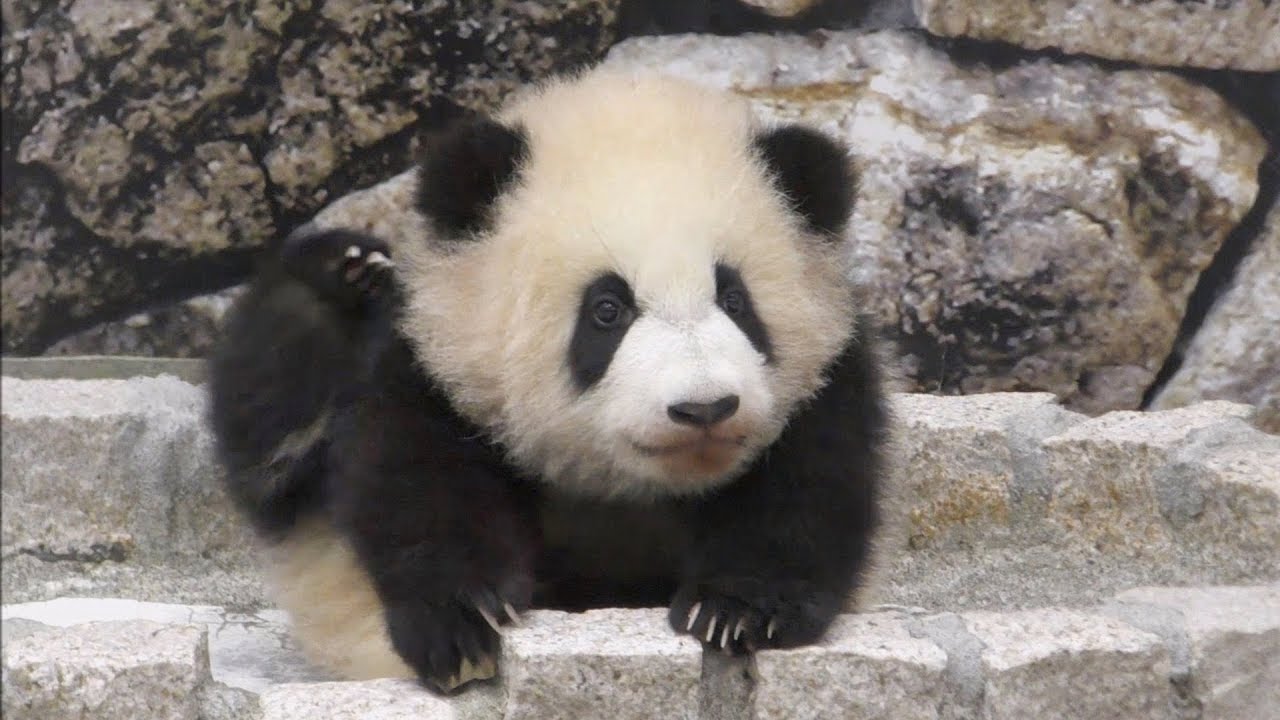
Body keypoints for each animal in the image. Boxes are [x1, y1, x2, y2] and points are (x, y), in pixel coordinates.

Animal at [208, 67, 889, 694]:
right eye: (607, 310)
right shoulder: (436, 365)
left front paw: (738, 609)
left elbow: (807, 487)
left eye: (735, 299)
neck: (621, 485)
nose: (703, 409)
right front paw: (462, 624)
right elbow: (415, 483)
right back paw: (340, 278)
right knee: (271, 425)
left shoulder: (826, 380)